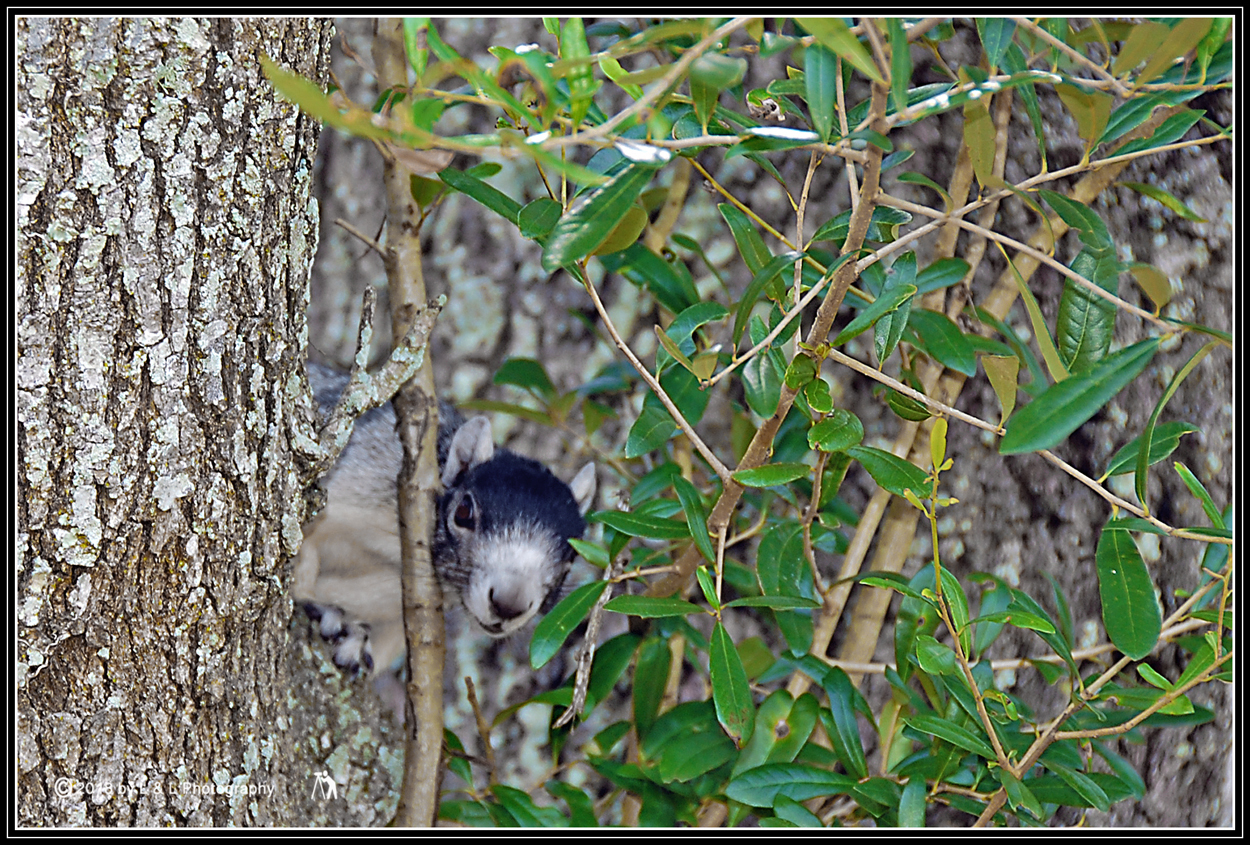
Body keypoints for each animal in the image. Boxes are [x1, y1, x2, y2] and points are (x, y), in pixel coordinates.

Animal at [294, 361, 596, 679]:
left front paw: (354, 641)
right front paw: (315, 601)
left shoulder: (393, 620)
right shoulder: (346, 488)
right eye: (463, 512)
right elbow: (303, 546)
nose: (508, 605)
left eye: (571, 559)